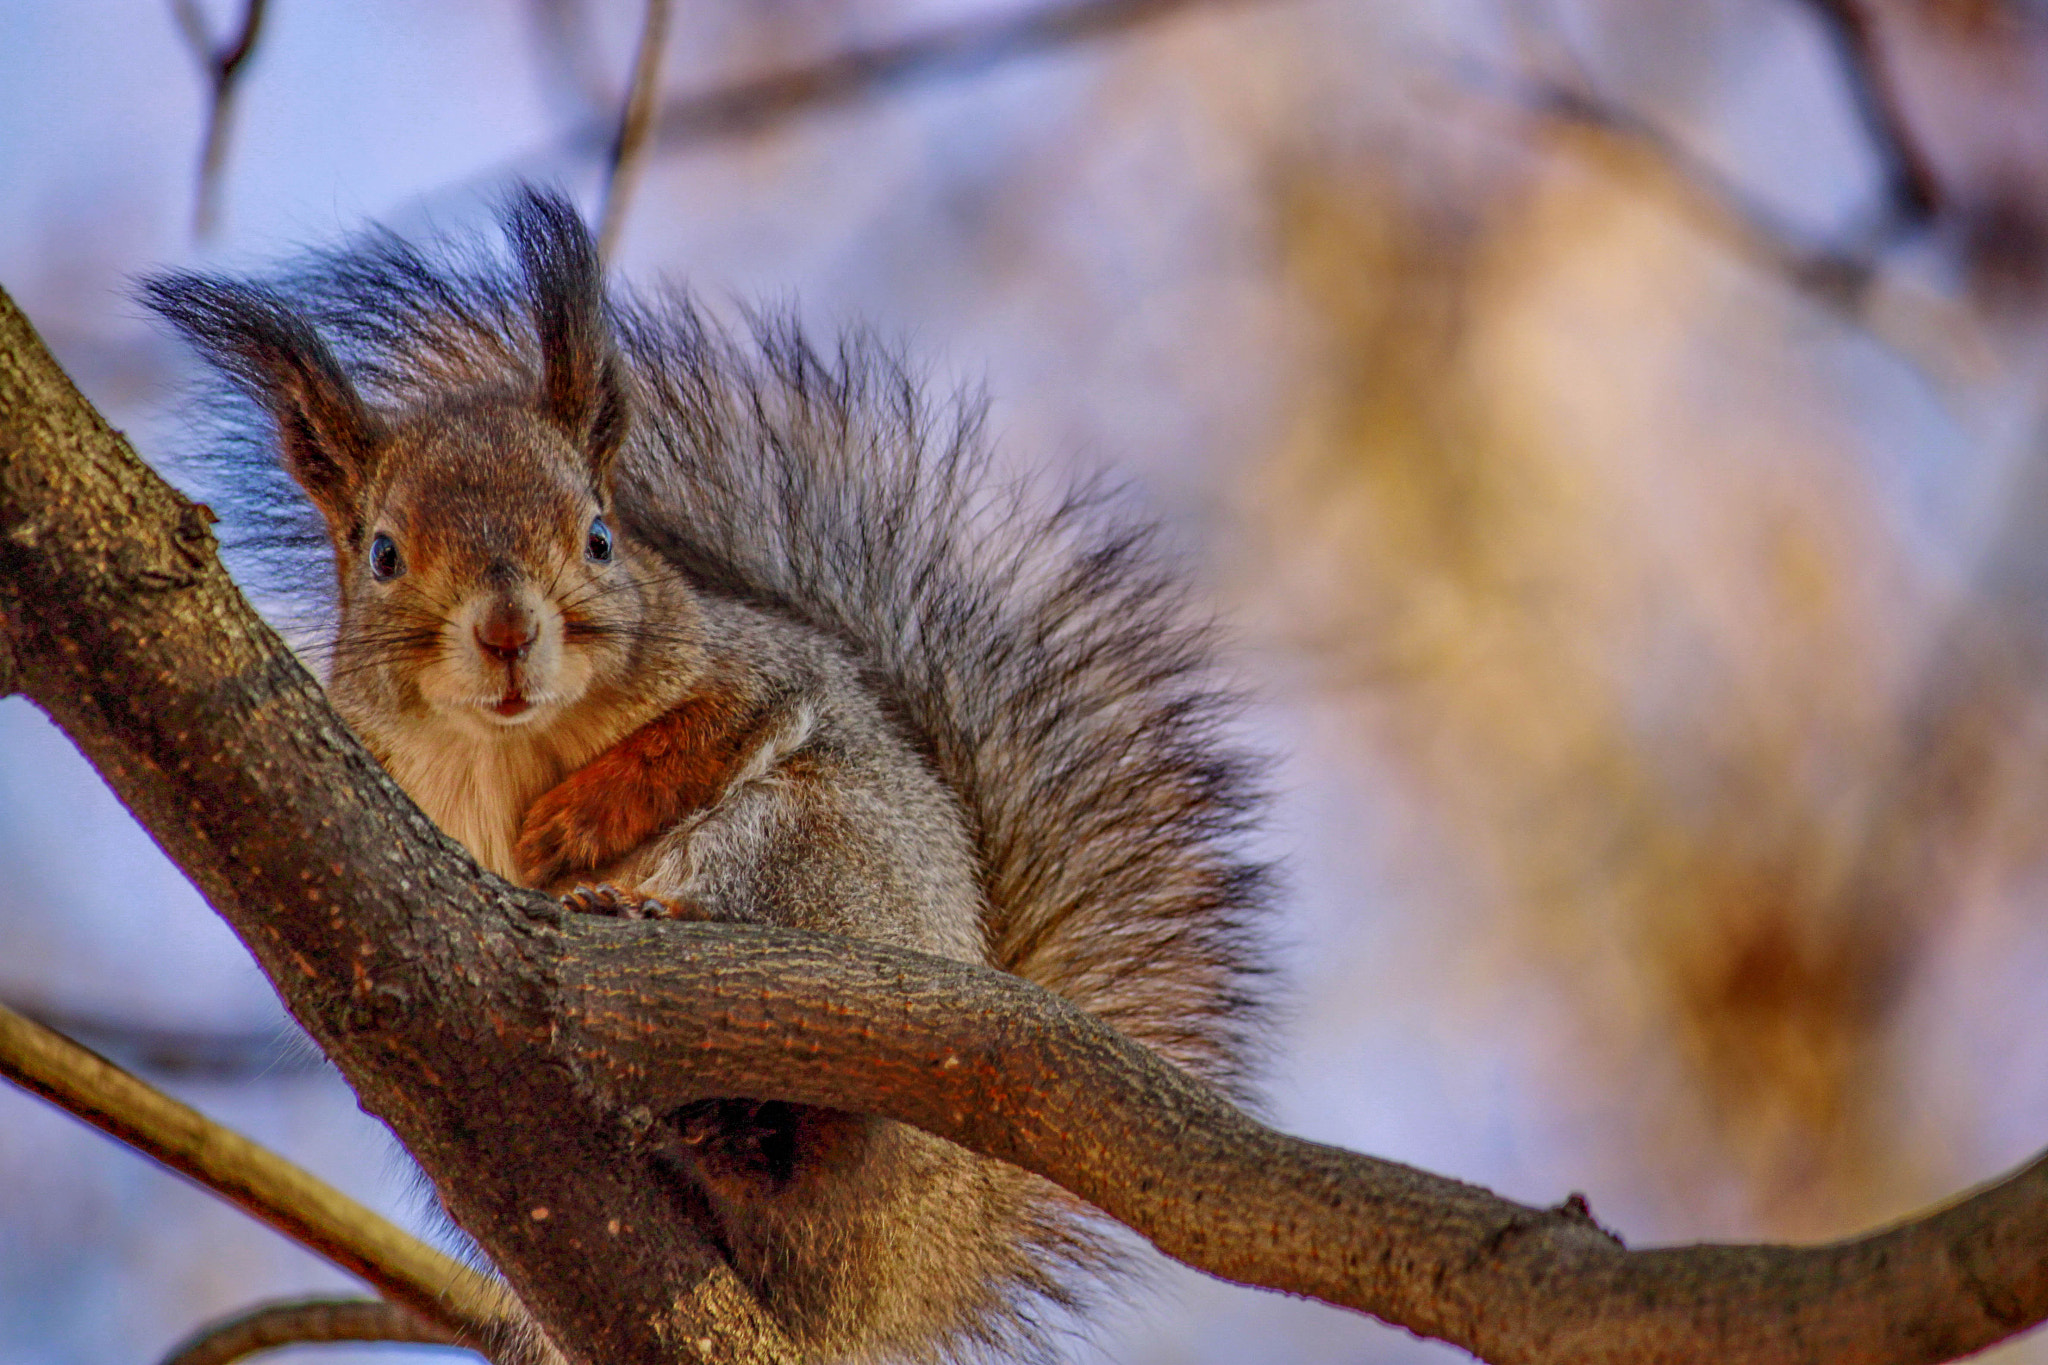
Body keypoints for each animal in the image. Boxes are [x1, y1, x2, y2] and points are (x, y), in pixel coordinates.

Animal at [143, 189, 1273, 1364]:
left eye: (600, 536)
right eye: (381, 554)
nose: (506, 632)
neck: (507, 742)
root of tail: (916, 1260)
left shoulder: (759, 673)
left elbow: (710, 734)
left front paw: (570, 825)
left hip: (812, 859)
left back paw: (642, 915)